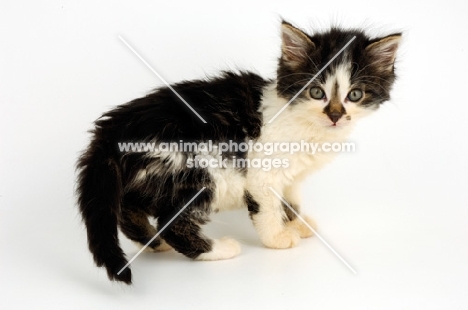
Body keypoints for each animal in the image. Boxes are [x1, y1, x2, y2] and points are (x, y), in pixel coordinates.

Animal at [76, 20, 398, 284]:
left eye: (355, 94)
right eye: (316, 92)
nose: (335, 115)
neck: (306, 125)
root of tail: (113, 127)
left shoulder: (291, 175)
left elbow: (290, 199)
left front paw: (296, 222)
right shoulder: (262, 171)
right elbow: (268, 207)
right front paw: (278, 237)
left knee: (127, 207)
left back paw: (153, 242)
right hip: (201, 170)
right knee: (172, 221)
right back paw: (217, 249)